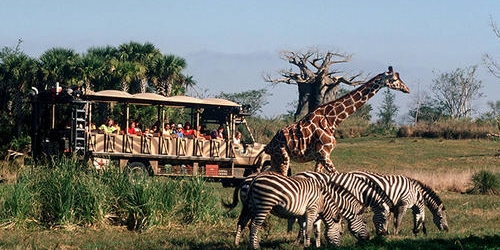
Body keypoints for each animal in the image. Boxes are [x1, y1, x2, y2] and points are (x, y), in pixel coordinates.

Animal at [266, 66, 410, 176]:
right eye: (394, 79)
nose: (407, 89)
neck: (332, 120)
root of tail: (269, 145)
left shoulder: (321, 156)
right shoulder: (323, 154)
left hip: (276, 159)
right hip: (283, 157)